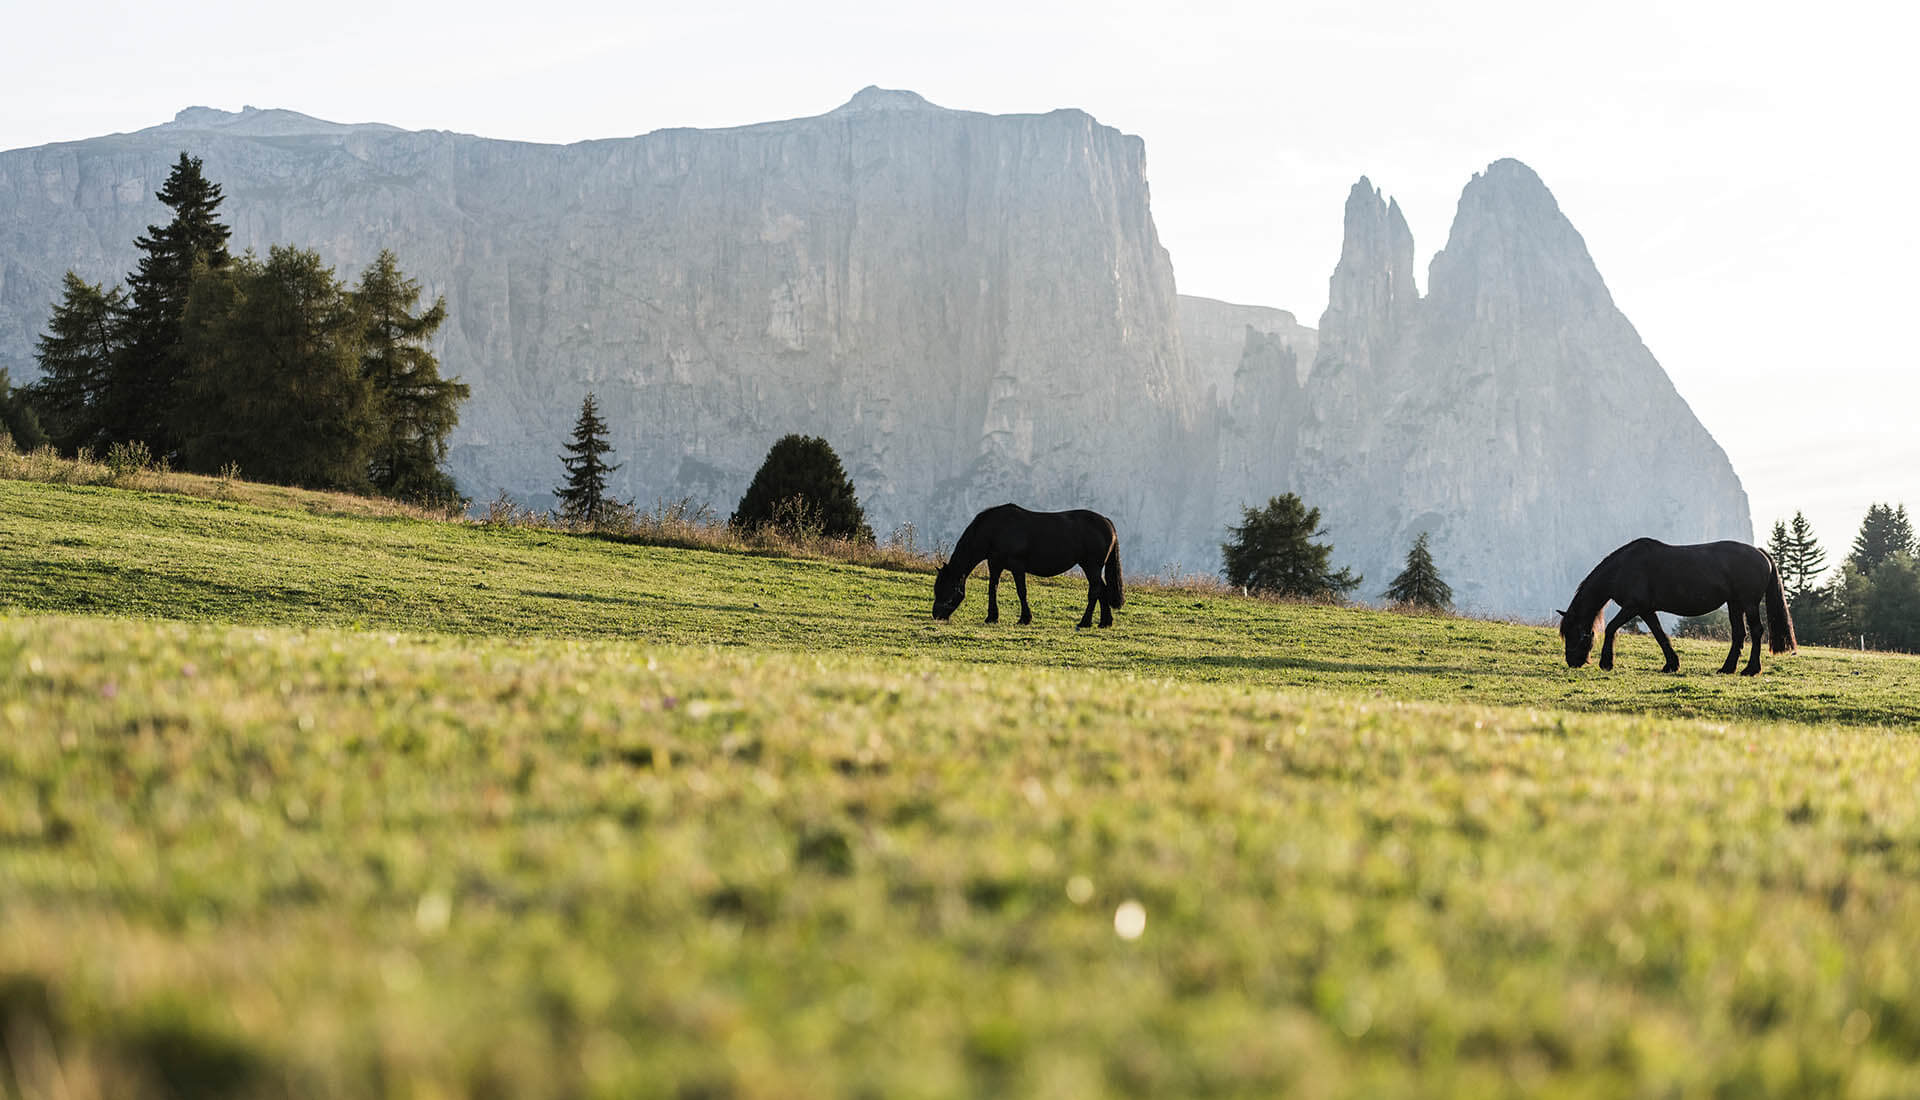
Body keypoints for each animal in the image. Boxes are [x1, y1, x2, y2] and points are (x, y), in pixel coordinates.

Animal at [929, 502, 1121, 625]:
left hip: (1092, 566)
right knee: (1102, 589)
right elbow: (993, 588)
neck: (995, 529)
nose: (936, 615)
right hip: (1091, 567)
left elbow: (1022, 591)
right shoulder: (995, 564)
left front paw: (1024, 619)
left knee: (1095, 590)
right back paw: (1105, 622)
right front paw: (992, 617)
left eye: (948, 589)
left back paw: (1085, 622)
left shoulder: (1017, 566)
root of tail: (1107, 523)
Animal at [1559, 537, 1797, 671]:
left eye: (1573, 633)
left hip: (1748, 603)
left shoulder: (1633, 607)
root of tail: (1760, 553)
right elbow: (1659, 635)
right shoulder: (1646, 610)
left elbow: (1611, 628)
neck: (1623, 567)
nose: (1572, 661)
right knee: (1739, 633)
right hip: (1734, 603)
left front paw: (1606, 663)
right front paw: (1671, 664)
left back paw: (1751, 669)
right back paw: (1727, 668)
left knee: (1756, 631)